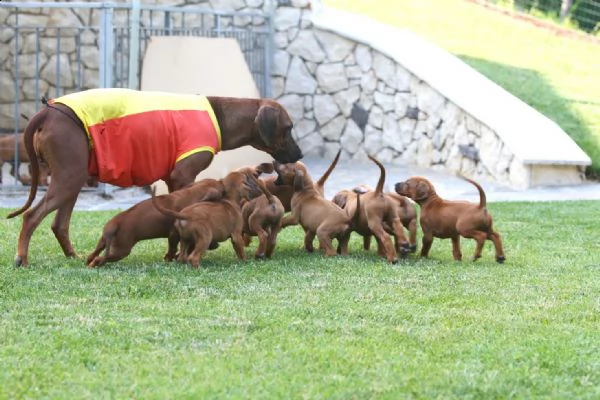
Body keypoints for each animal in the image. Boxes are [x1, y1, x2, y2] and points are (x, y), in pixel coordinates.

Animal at [7, 89, 302, 268]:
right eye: (288, 128)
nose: (299, 154)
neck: (220, 116)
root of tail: (48, 110)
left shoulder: (174, 180)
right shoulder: (184, 176)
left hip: (73, 177)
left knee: (59, 223)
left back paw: (74, 256)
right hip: (69, 177)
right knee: (31, 216)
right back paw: (22, 258)